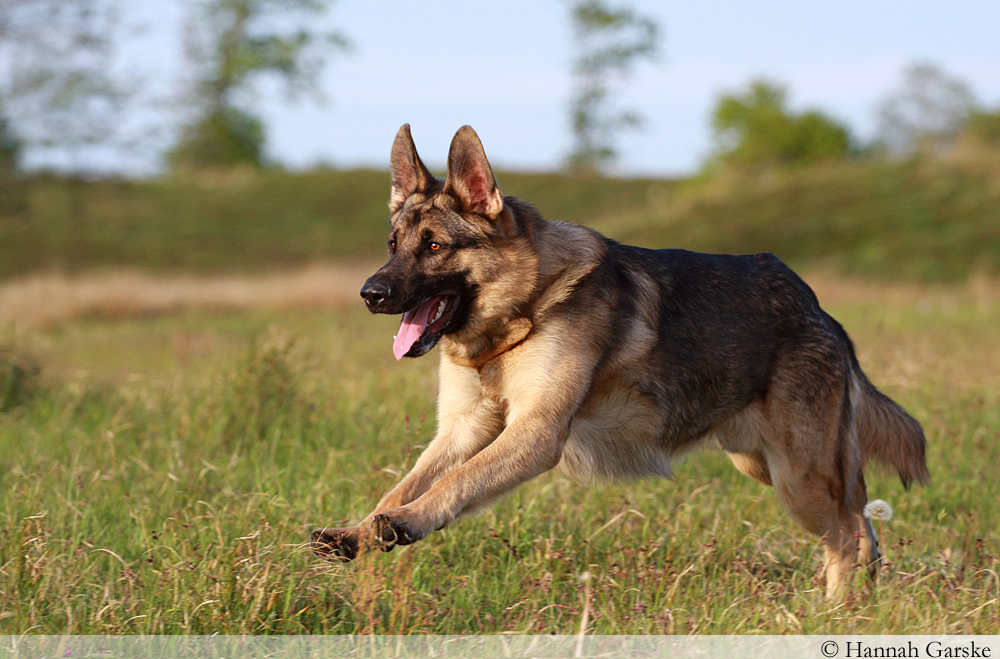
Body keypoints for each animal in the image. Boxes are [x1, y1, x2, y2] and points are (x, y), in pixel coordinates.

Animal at [314, 122, 928, 600]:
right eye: (393, 245)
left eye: (436, 246)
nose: (370, 294)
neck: (522, 311)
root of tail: (819, 310)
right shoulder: (463, 429)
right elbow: (404, 485)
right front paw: (360, 531)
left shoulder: (534, 434)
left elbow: (455, 484)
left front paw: (408, 524)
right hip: (764, 464)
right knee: (861, 522)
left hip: (797, 478)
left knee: (846, 532)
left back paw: (834, 611)